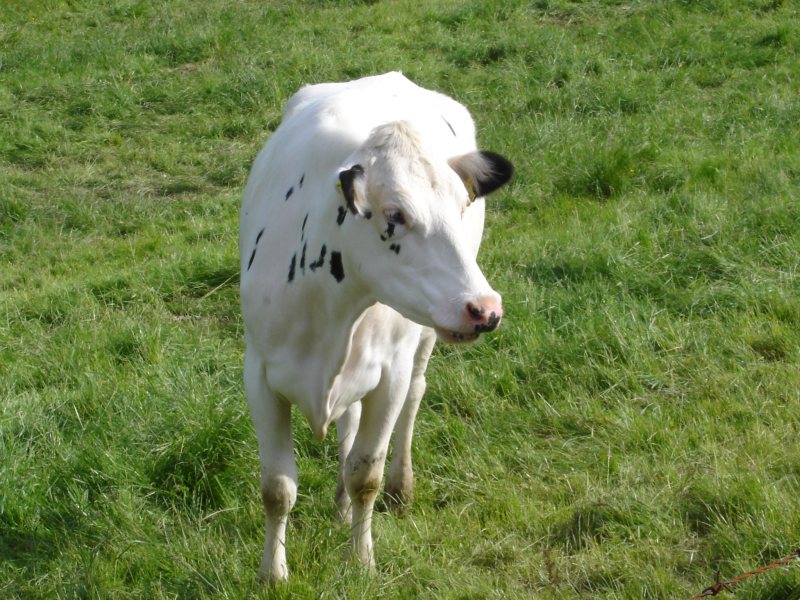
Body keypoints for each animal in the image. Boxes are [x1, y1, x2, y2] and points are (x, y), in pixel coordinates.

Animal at [239, 71, 512, 580]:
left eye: (462, 207)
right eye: (395, 215)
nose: (485, 308)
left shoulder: (391, 374)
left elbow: (366, 472)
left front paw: (361, 560)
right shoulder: (259, 375)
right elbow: (277, 487)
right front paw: (273, 573)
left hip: (421, 342)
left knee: (415, 396)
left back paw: (400, 489)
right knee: (348, 422)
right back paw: (340, 505)